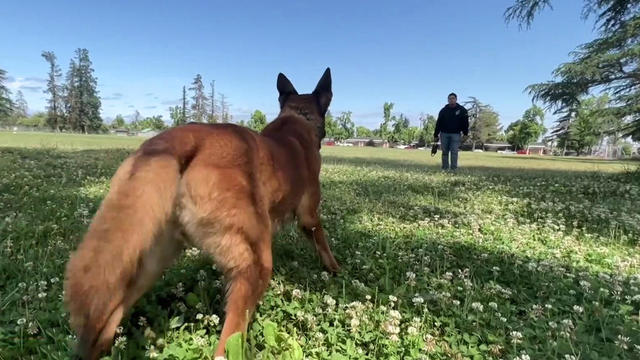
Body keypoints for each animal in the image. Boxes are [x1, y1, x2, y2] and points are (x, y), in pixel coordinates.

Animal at [63, 69, 340, 358]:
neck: (298, 117)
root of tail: (181, 137)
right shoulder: (309, 215)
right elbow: (323, 243)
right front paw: (335, 269)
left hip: (151, 261)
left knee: (107, 321)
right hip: (256, 264)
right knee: (228, 340)